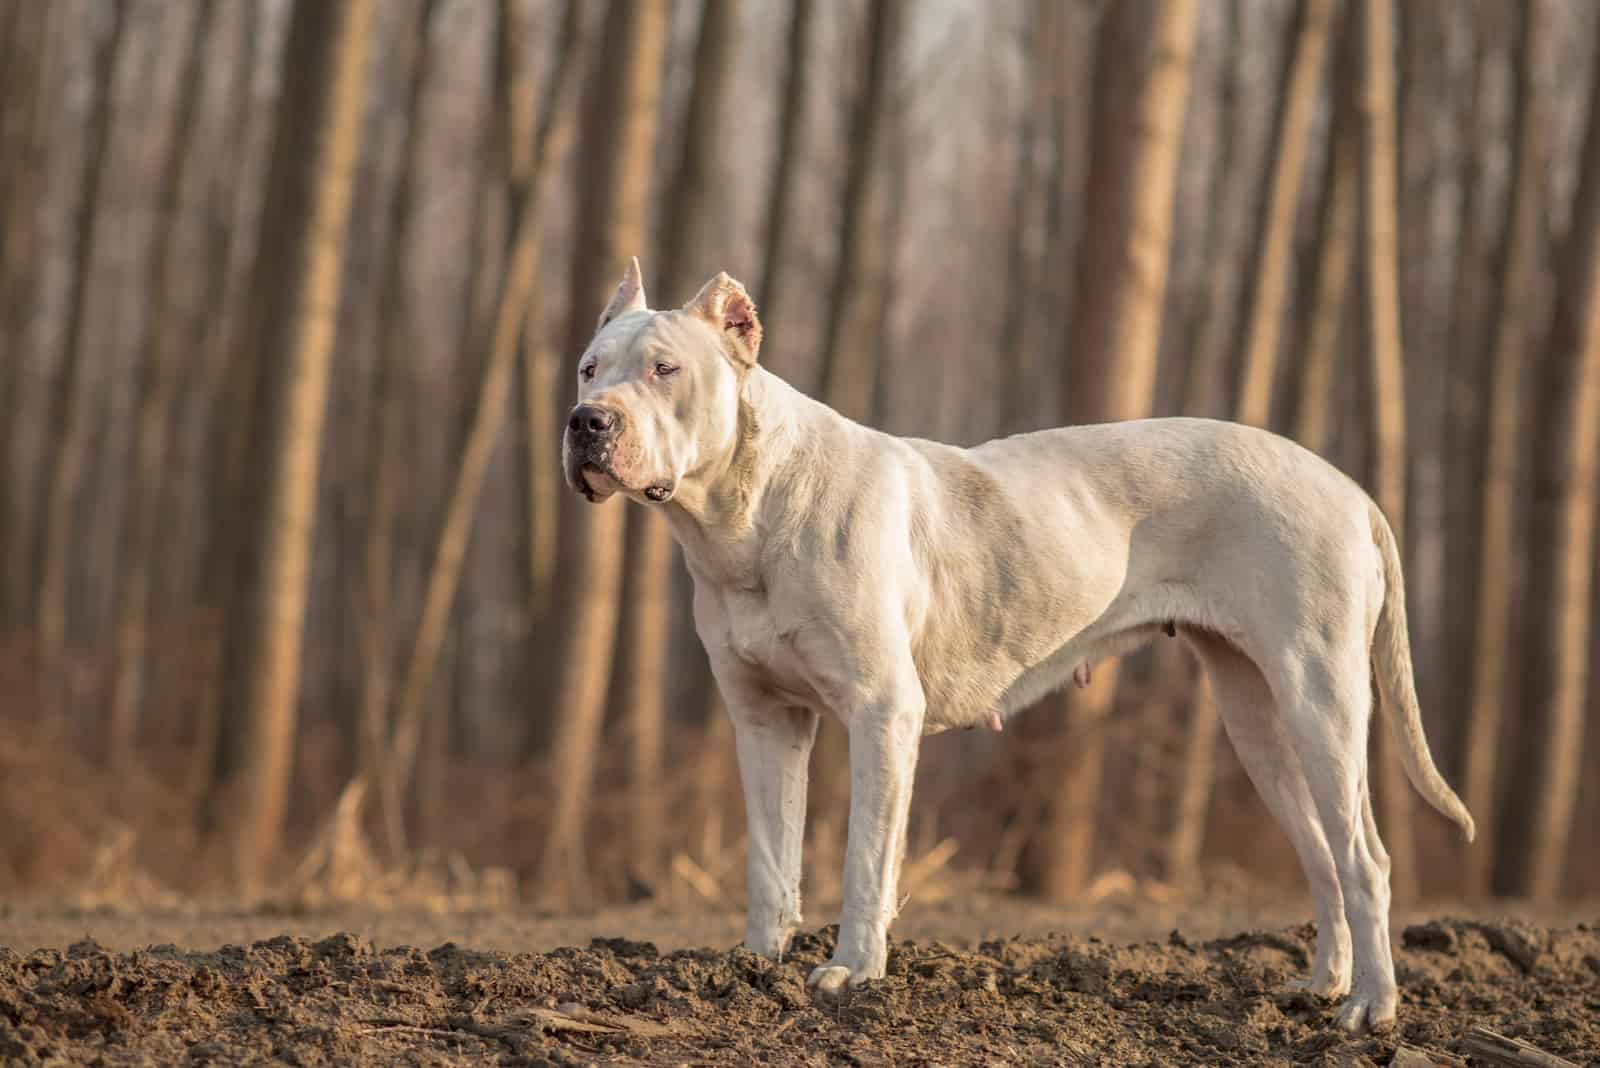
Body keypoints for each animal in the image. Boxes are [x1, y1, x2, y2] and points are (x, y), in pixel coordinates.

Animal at [563, 260, 1472, 1036]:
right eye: (588, 368)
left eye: (665, 370)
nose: (586, 422)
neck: (744, 515)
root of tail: (1349, 489)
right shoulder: (765, 720)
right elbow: (768, 857)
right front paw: (753, 966)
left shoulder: (882, 714)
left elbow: (865, 857)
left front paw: (852, 973)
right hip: (1257, 717)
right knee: (1322, 854)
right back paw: (1323, 985)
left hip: (1320, 699)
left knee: (1366, 858)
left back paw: (1371, 1009)